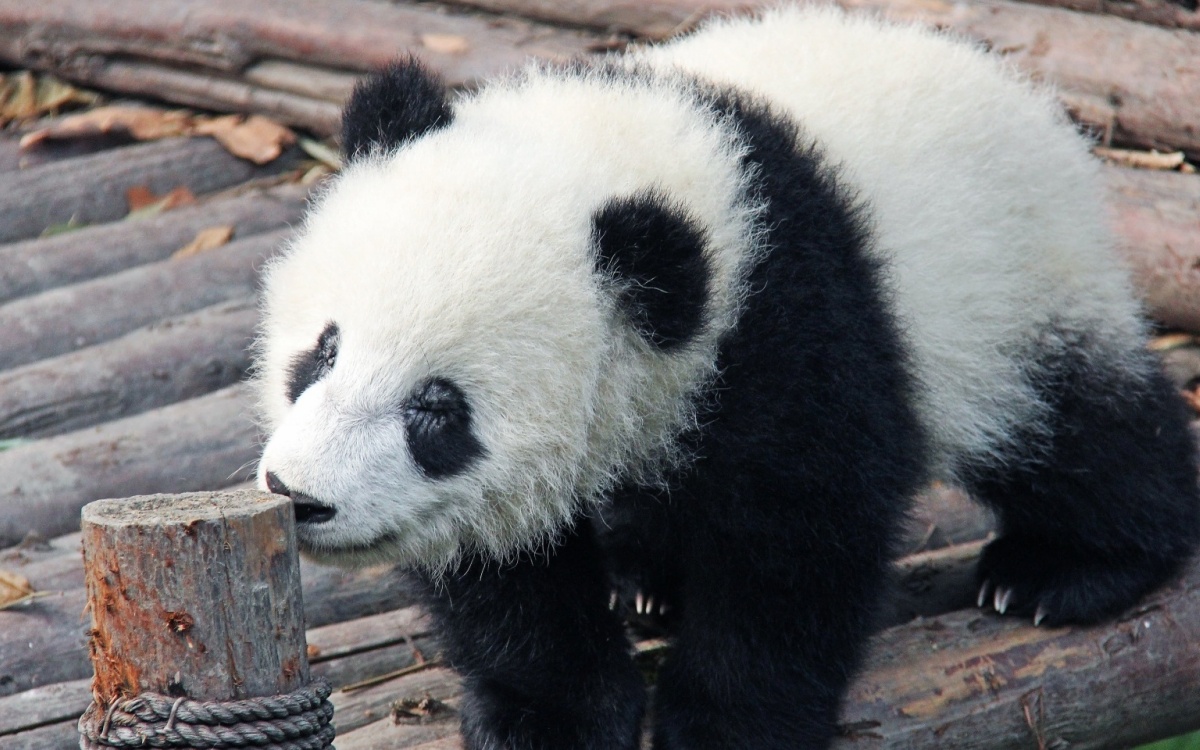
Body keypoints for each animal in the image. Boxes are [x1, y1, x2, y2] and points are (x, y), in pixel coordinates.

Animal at [255, 6, 1200, 749]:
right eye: (324, 350)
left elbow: (796, 541)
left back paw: (1060, 569)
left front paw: (728, 723)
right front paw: (550, 716)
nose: (300, 495)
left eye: (437, 410)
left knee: (1074, 423)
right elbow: (507, 572)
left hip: (1012, 279)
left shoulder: (789, 321)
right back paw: (650, 584)